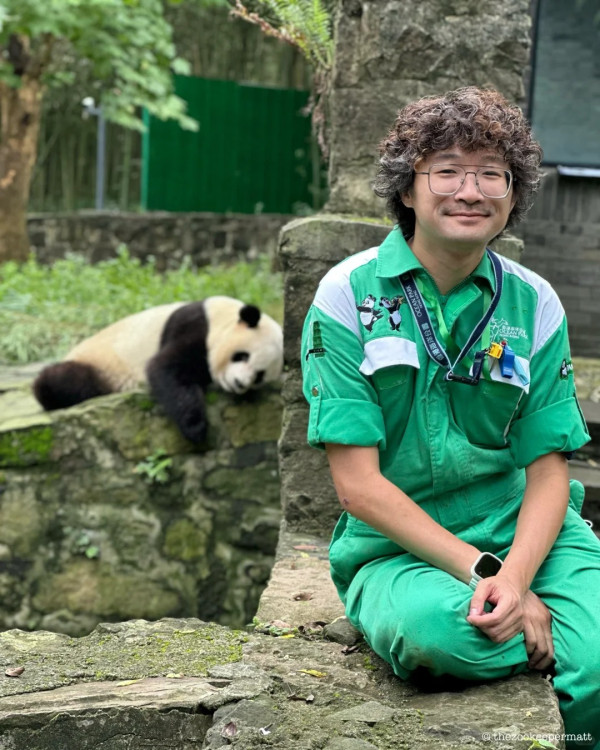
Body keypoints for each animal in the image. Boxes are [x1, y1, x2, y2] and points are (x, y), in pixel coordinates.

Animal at [32, 296, 284, 444]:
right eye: (242, 356)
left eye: (259, 376)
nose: (240, 384)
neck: (221, 317)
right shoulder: (194, 327)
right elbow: (167, 369)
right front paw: (196, 428)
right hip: (99, 364)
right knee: (62, 380)